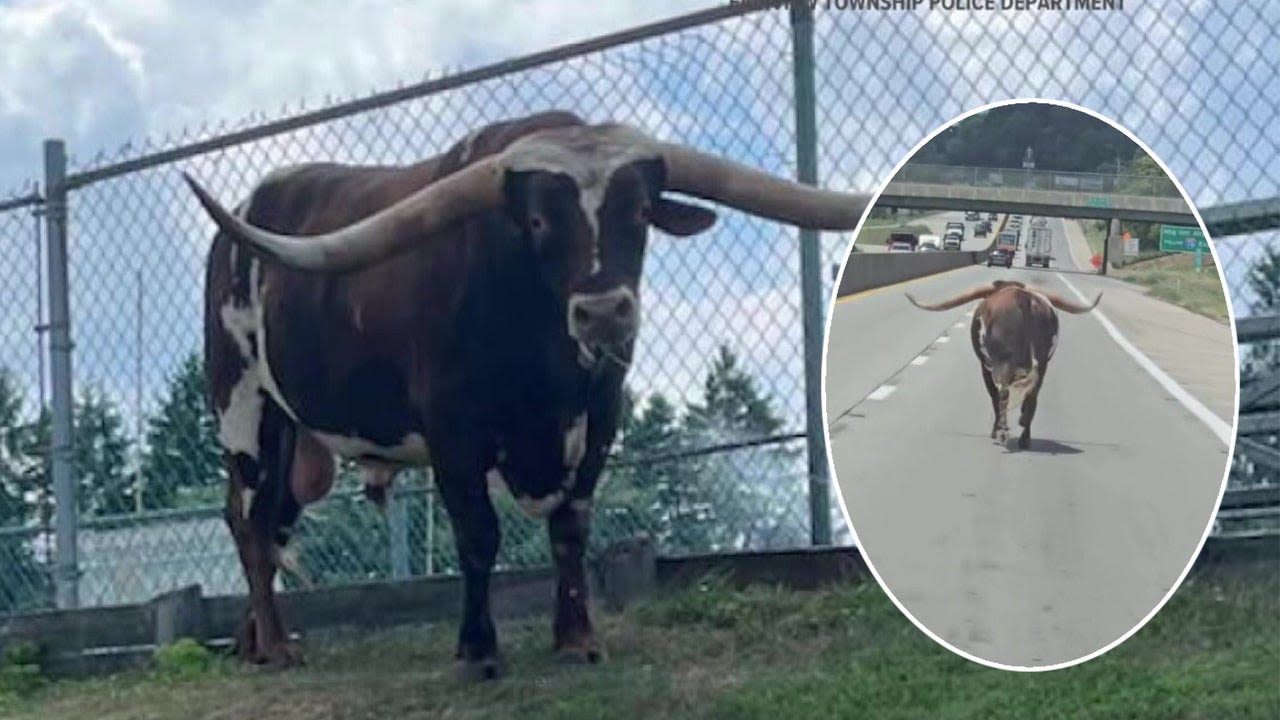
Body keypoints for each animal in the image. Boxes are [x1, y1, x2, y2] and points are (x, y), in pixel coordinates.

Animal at [901, 280, 1100, 448]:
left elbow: (994, 398)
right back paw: (1024, 437)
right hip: (1042, 364)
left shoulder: (985, 368)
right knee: (1032, 395)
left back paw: (1002, 433)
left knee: (1003, 395)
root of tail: (1021, 296)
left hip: (1002, 364)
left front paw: (995, 430)